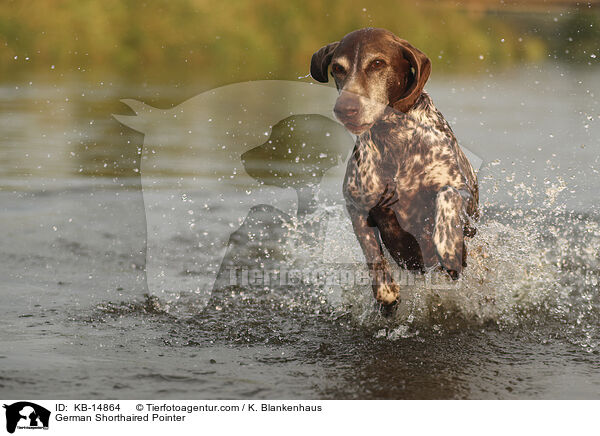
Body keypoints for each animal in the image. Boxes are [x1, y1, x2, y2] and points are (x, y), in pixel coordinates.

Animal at [310, 28, 478, 306]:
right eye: (337, 68)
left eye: (377, 63)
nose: (345, 109)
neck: (393, 139)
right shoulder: (357, 206)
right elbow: (373, 256)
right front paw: (386, 292)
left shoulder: (458, 187)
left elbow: (447, 196)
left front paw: (448, 247)